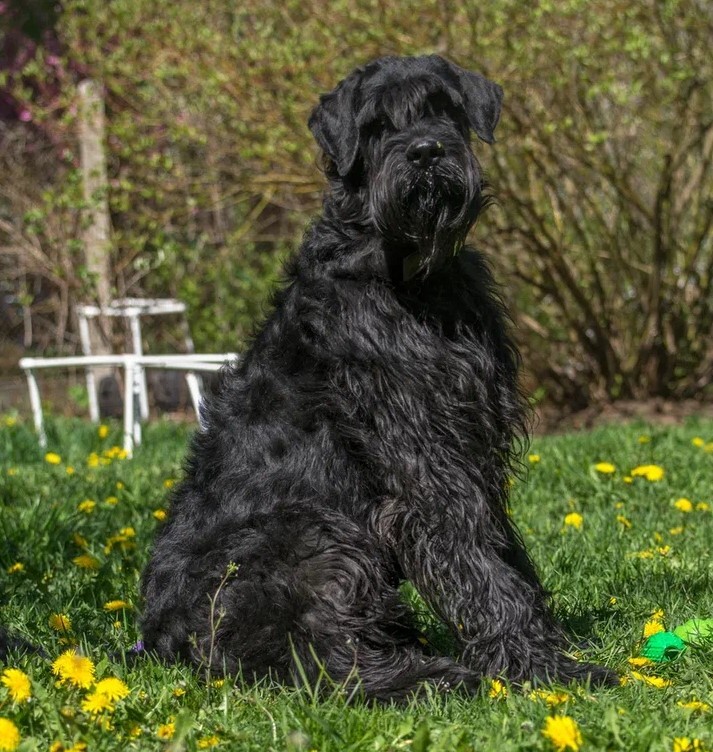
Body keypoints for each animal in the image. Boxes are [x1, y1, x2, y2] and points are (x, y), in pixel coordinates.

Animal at [139, 54, 612, 700]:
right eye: (376, 125)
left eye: (443, 107)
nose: (426, 152)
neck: (415, 283)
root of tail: (157, 644)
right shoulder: (423, 458)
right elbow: (479, 562)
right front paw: (544, 666)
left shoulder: (474, 447)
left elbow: (503, 551)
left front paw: (542, 645)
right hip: (311, 537)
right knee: (326, 661)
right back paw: (435, 676)